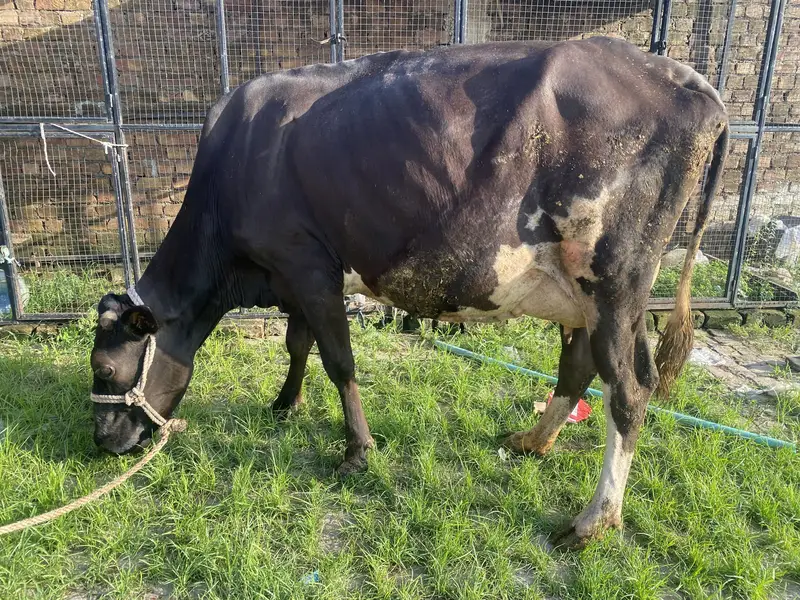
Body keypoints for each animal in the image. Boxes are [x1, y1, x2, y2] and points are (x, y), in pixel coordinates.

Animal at [89, 37, 729, 547]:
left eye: (105, 370)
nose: (102, 442)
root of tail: (685, 78)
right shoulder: (298, 271)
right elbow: (298, 345)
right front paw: (286, 403)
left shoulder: (306, 264)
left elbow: (339, 361)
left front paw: (356, 452)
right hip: (589, 294)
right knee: (581, 370)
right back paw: (531, 441)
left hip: (613, 278)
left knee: (630, 389)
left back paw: (594, 520)